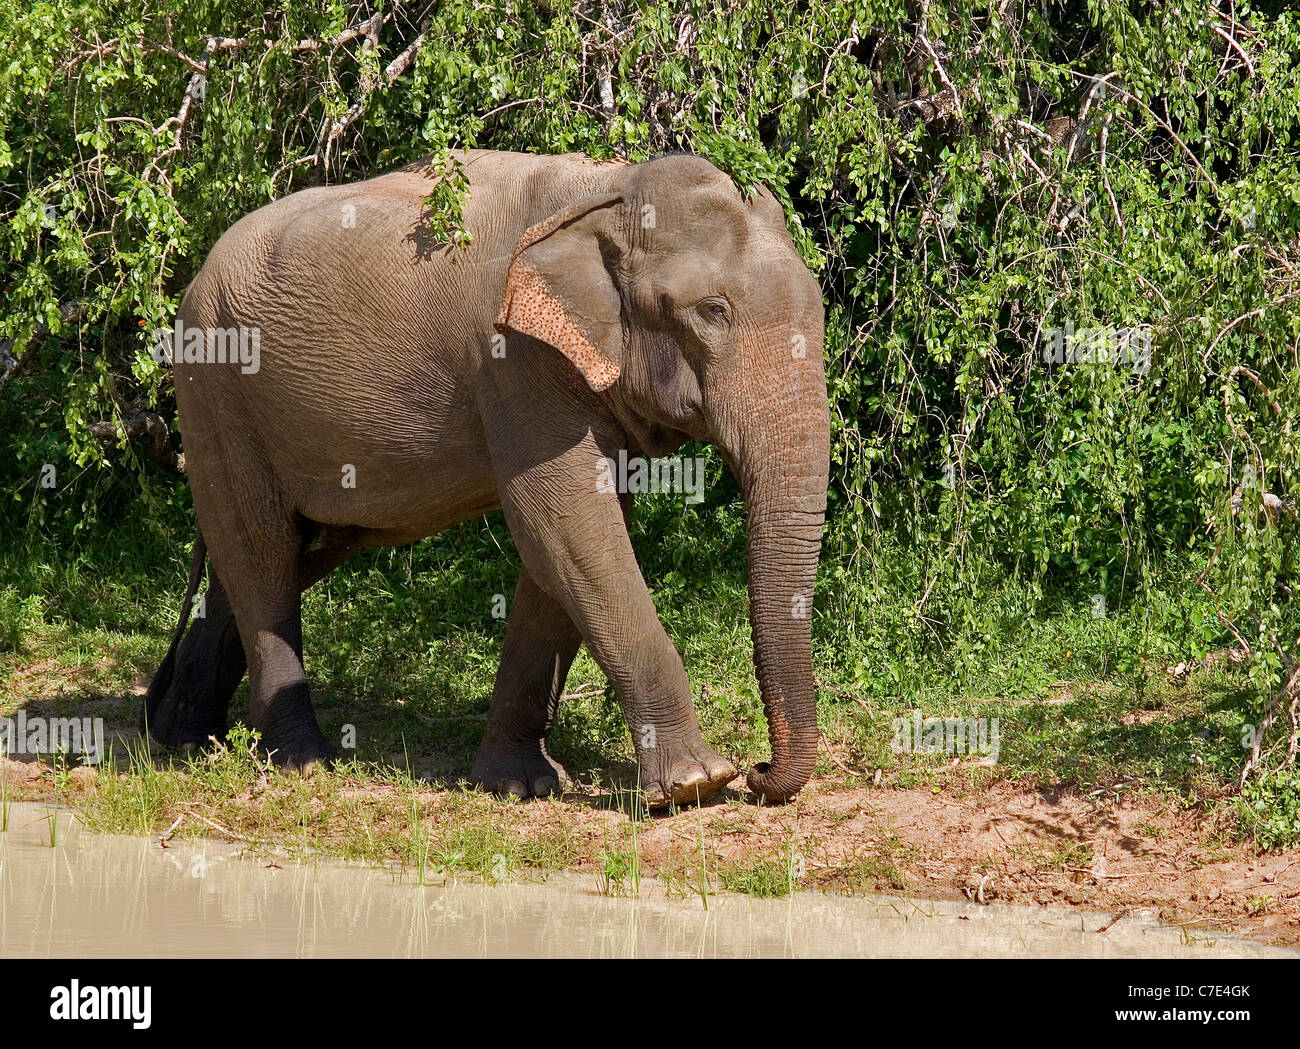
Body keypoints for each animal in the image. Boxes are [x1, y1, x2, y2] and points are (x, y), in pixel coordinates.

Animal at [142, 148, 830, 807]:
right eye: (712, 311)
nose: (759, 775)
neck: (608, 192)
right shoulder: (515, 360)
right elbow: (570, 529)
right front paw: (696, 785)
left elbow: (564, 548)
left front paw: (519, 787)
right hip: (215, 394)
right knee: (260, 552)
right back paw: (300, 761)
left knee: (280, 555)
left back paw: (183, 738)